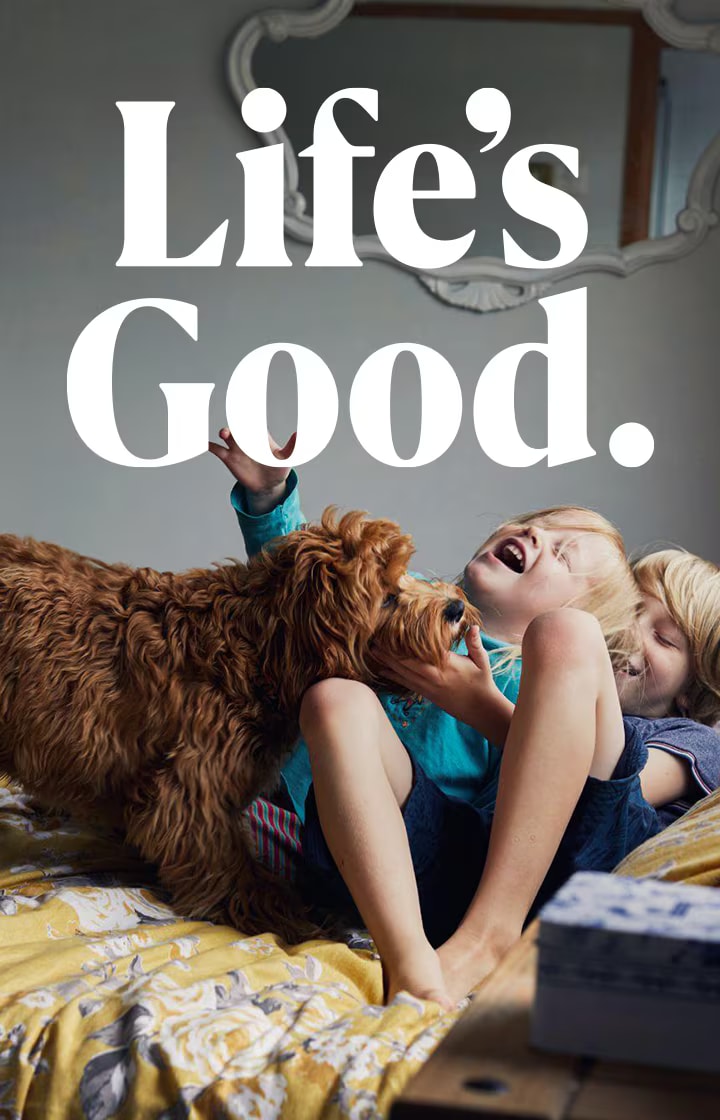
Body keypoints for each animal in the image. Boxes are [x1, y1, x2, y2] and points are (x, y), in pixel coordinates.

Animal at [0, 512, 477, 940]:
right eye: (387, 598)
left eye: (408, 572)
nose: (455, 606)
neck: (258, 644)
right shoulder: (191, 794)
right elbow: (226, 862)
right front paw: (277, 910)